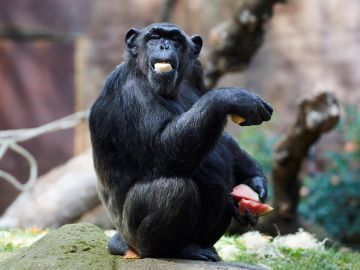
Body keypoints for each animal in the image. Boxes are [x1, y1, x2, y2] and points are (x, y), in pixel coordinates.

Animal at [90, 23, 272, 262]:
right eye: (154, 37)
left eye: (175, 39)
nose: (164, 45)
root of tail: (122, 243)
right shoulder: (133, 95)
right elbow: (161, 152)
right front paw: (232, 97)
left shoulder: (195, 72)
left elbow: (220, 137)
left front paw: (255, 180)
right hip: (134, 237)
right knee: (174, 189)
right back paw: (177, 250)